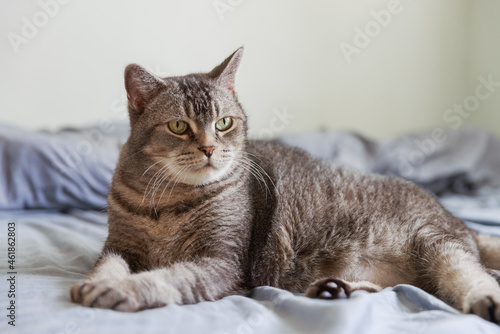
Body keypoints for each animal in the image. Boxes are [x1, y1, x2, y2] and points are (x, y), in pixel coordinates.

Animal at [71, 48, 500, 322]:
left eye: (224, 123)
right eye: (179, 126)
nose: (209, 148)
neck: (167, 200)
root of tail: (458, 220)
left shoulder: (221, 262)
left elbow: (168, 277)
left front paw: (124, 290)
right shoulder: (120, 246)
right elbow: (107, 266)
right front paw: (98, 283)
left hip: (438, 245)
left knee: (470, 275)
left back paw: (486, 298)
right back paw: (333, 291)